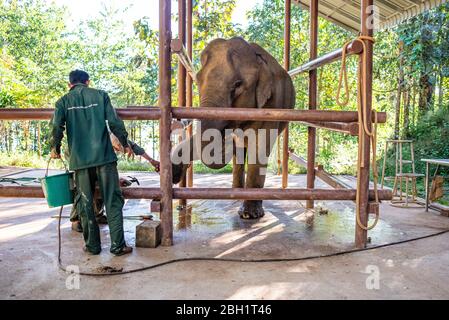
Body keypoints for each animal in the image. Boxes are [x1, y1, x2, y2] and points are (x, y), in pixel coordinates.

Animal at [171, 36, 294, 219]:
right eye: (198, 80)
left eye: (237, 84)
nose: (176, 177)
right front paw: (172, 171)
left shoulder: (273, 104)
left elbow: (259, 148)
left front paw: (250, 215)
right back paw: (235, 192)